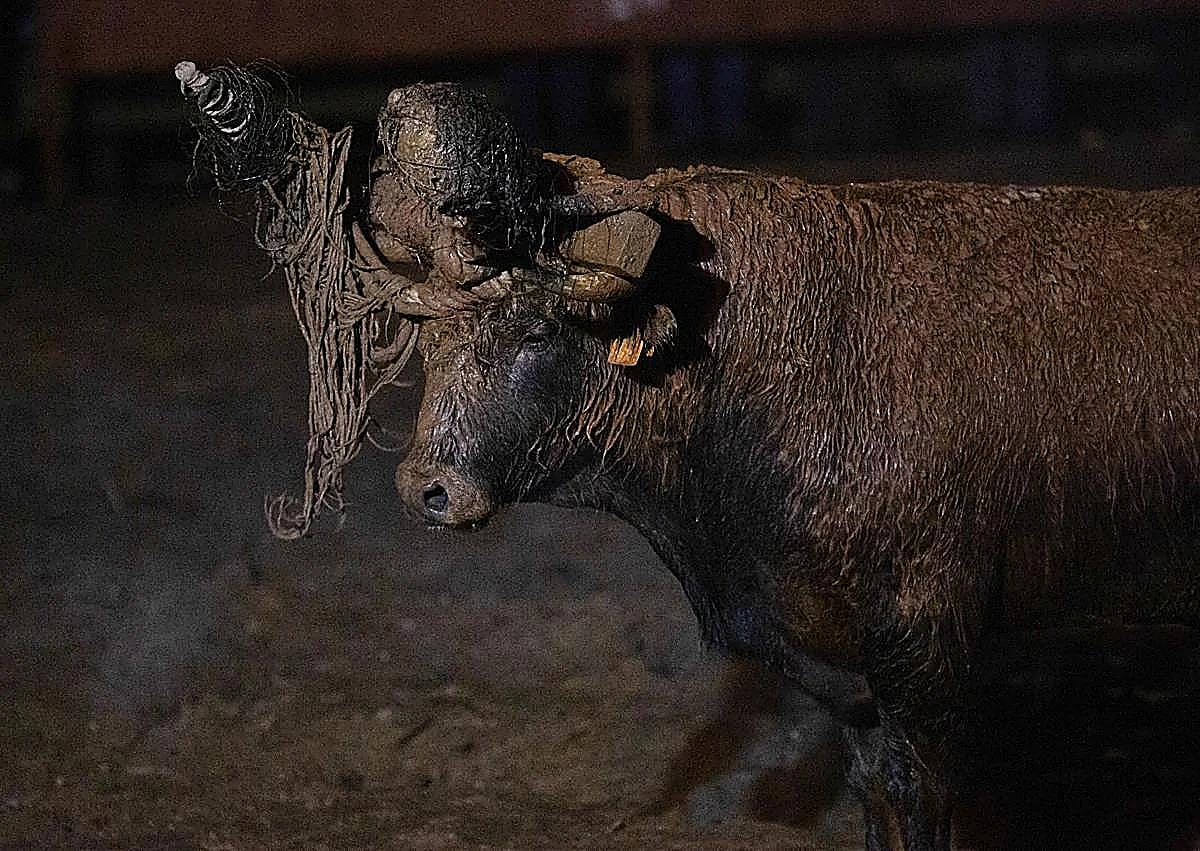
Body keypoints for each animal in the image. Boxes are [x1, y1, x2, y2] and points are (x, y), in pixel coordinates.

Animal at [179, 63, 1200, 850]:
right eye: (433, 344)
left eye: (540, 332)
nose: (427, 489)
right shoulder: (853, 684)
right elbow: (878, 802)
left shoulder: (927, 654)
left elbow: (921, 802)